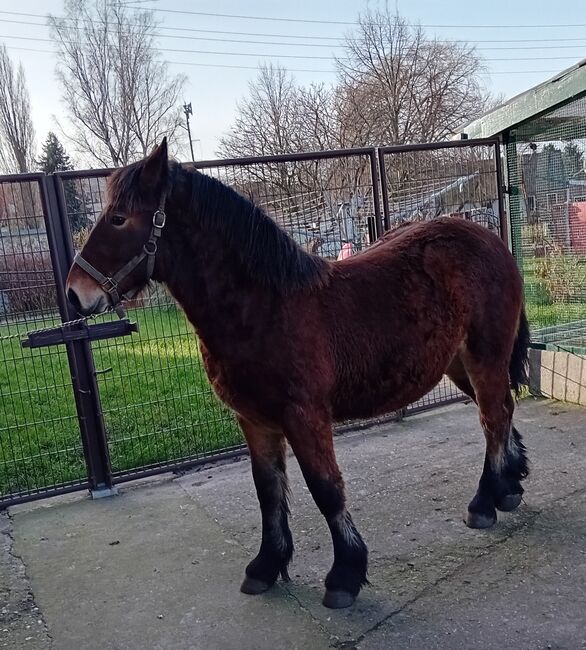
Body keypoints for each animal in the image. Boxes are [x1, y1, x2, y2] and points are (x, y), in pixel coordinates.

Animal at [65, 140, 528, 608]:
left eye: (119, 218)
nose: (73, 294)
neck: (262, 309)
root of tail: (489, 237)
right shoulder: (254, 420)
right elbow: (268, 490)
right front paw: (266, 565)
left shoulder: (304, 417)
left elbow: (325, 488)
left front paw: (344, 574)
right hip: (458, 363)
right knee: (501, 412)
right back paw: (508, 486)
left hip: (484, 356)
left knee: (492, 418)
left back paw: (484, 503)